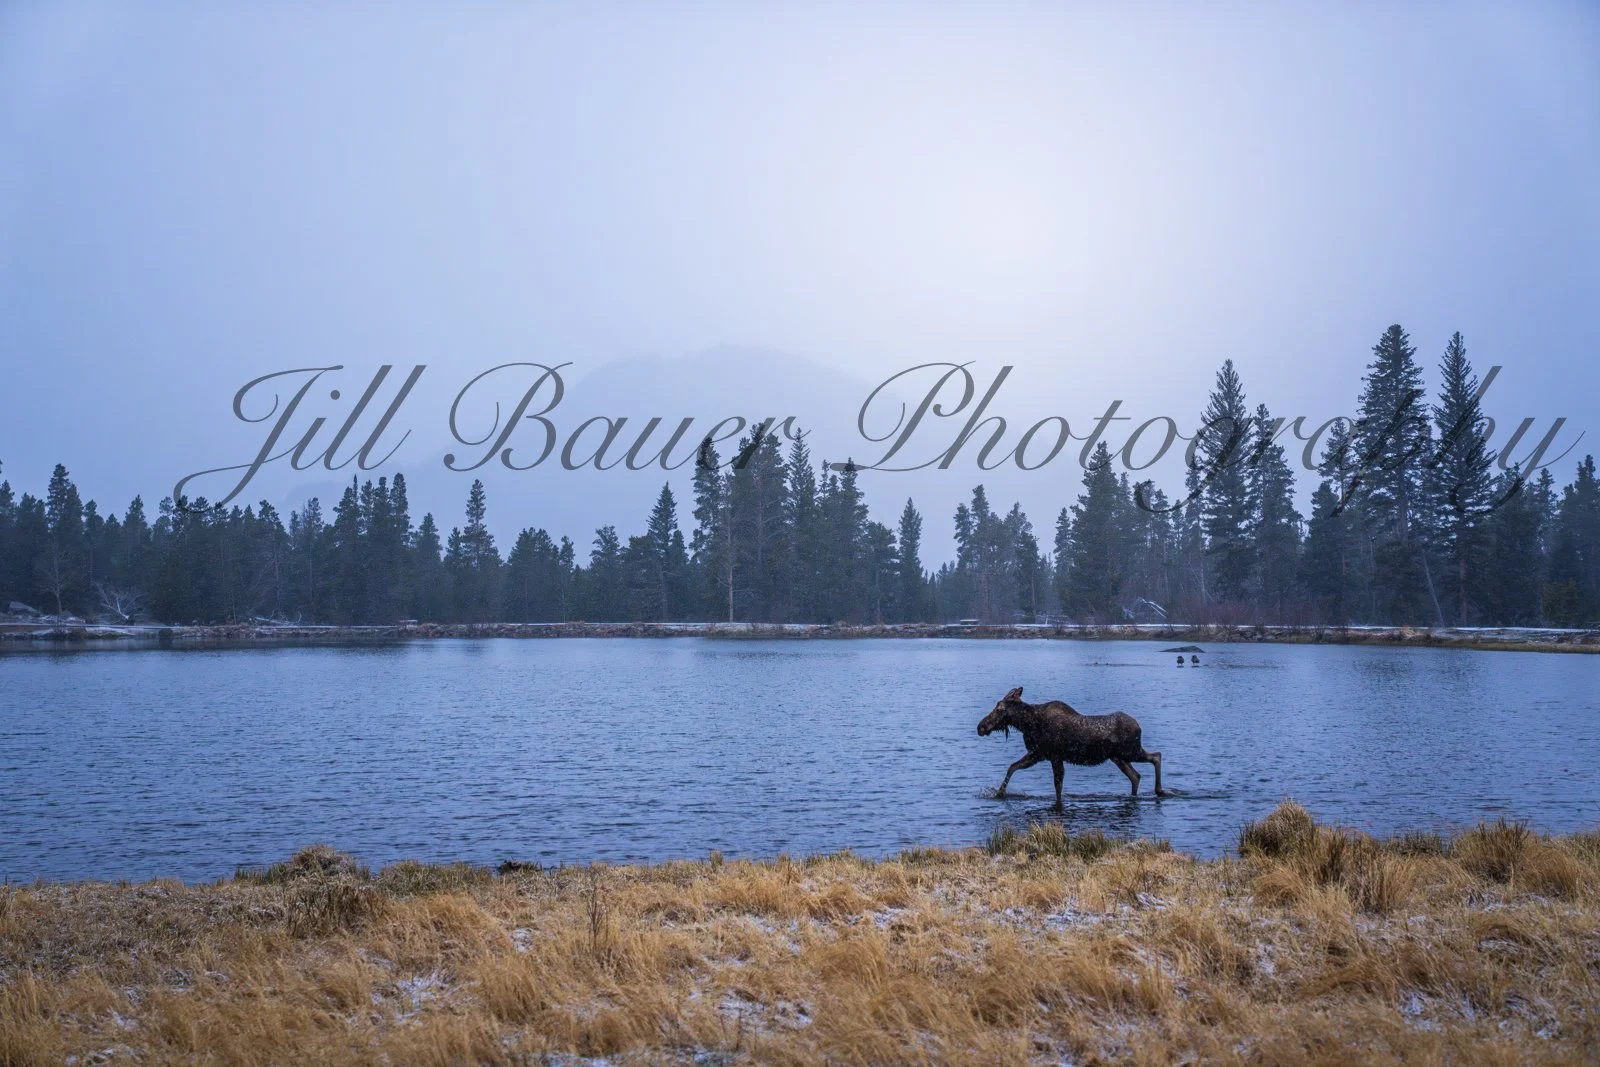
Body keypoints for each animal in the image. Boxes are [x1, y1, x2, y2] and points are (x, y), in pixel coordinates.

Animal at [977, 686, 1168, 810]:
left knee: (1156, 756)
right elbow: (1012, 767)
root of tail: (1138, 726)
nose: (981, 727)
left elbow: (1058, 785)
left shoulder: (1053, 756)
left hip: (1130, 751)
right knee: (1135, 775)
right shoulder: (1038, 754)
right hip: (1118, 757)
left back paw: (1159, 790)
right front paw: (999, 793)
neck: (1027, 724)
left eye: (1000, 709)